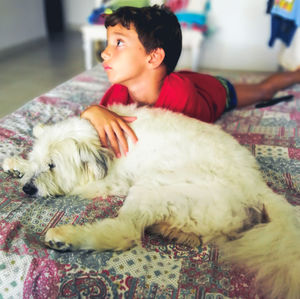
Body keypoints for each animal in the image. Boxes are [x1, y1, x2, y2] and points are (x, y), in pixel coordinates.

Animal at [2, 104, 300, 298]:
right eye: (38, 160)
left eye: (52, 166)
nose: (27, 189)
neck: (100, 141)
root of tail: (258, 186)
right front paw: (18, 163)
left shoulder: (111, 182)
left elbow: (73, 187)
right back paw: (172, 231)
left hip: (153, 186)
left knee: (126, 232)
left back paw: (65, 238)